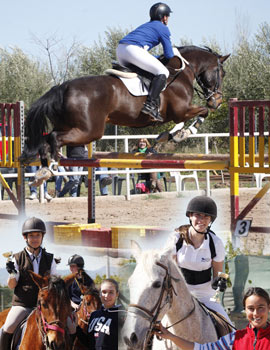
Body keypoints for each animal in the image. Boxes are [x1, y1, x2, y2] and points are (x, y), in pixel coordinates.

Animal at [20, 44, 229, 170]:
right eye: (222, 73)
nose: (217, 101)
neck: (181, 72)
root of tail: (63, 87)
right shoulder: (181, 111)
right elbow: (202, 112)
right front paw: (185, 133)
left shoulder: (178, 114)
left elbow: (179, 124)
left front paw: (169, 136)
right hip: (90, 131)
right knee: (55, 138)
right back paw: (53, 166)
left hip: (68, 125)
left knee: (45, 141)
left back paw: (43, 171)